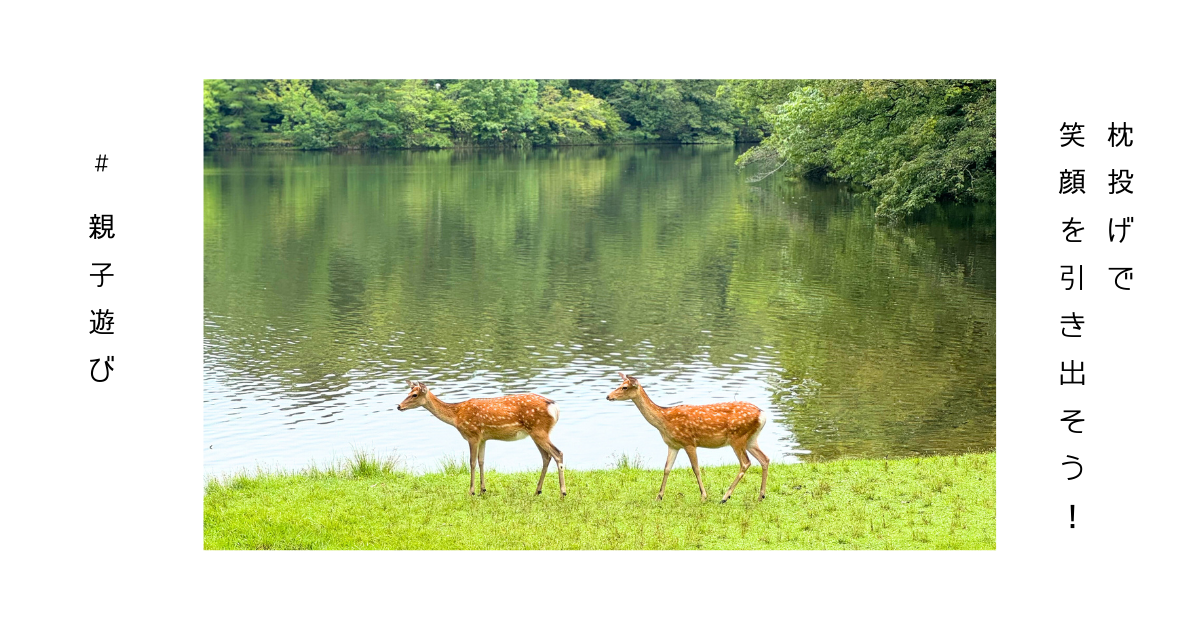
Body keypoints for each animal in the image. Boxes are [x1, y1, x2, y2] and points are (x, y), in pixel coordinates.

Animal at [393, 379, 561, 496]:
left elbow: (472, 462)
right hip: (537, 432)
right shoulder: (483, 438)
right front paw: (483, 490)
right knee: (546, 457)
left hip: (539, 430)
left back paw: (562, 493)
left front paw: (471, 491)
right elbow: (482, 461)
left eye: (414, 395)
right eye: (408, 393)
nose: (399, 406)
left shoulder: (472, 434)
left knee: (558, 453)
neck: (456, 416)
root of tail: (555, 407)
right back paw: (537, 491)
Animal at [604, 374, 772, 501]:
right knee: (765, 459)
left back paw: (725, 496)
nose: (608, 396)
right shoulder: (673, 444)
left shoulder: (689, 441)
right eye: (620, 384)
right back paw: (760, 496)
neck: (664, 421)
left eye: (624, 387)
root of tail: (762, 414)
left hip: (737, 437)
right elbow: (666, 468)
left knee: (745, 463)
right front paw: (659, 496)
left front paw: (704, 496)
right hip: (751, 439)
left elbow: (696, 468)